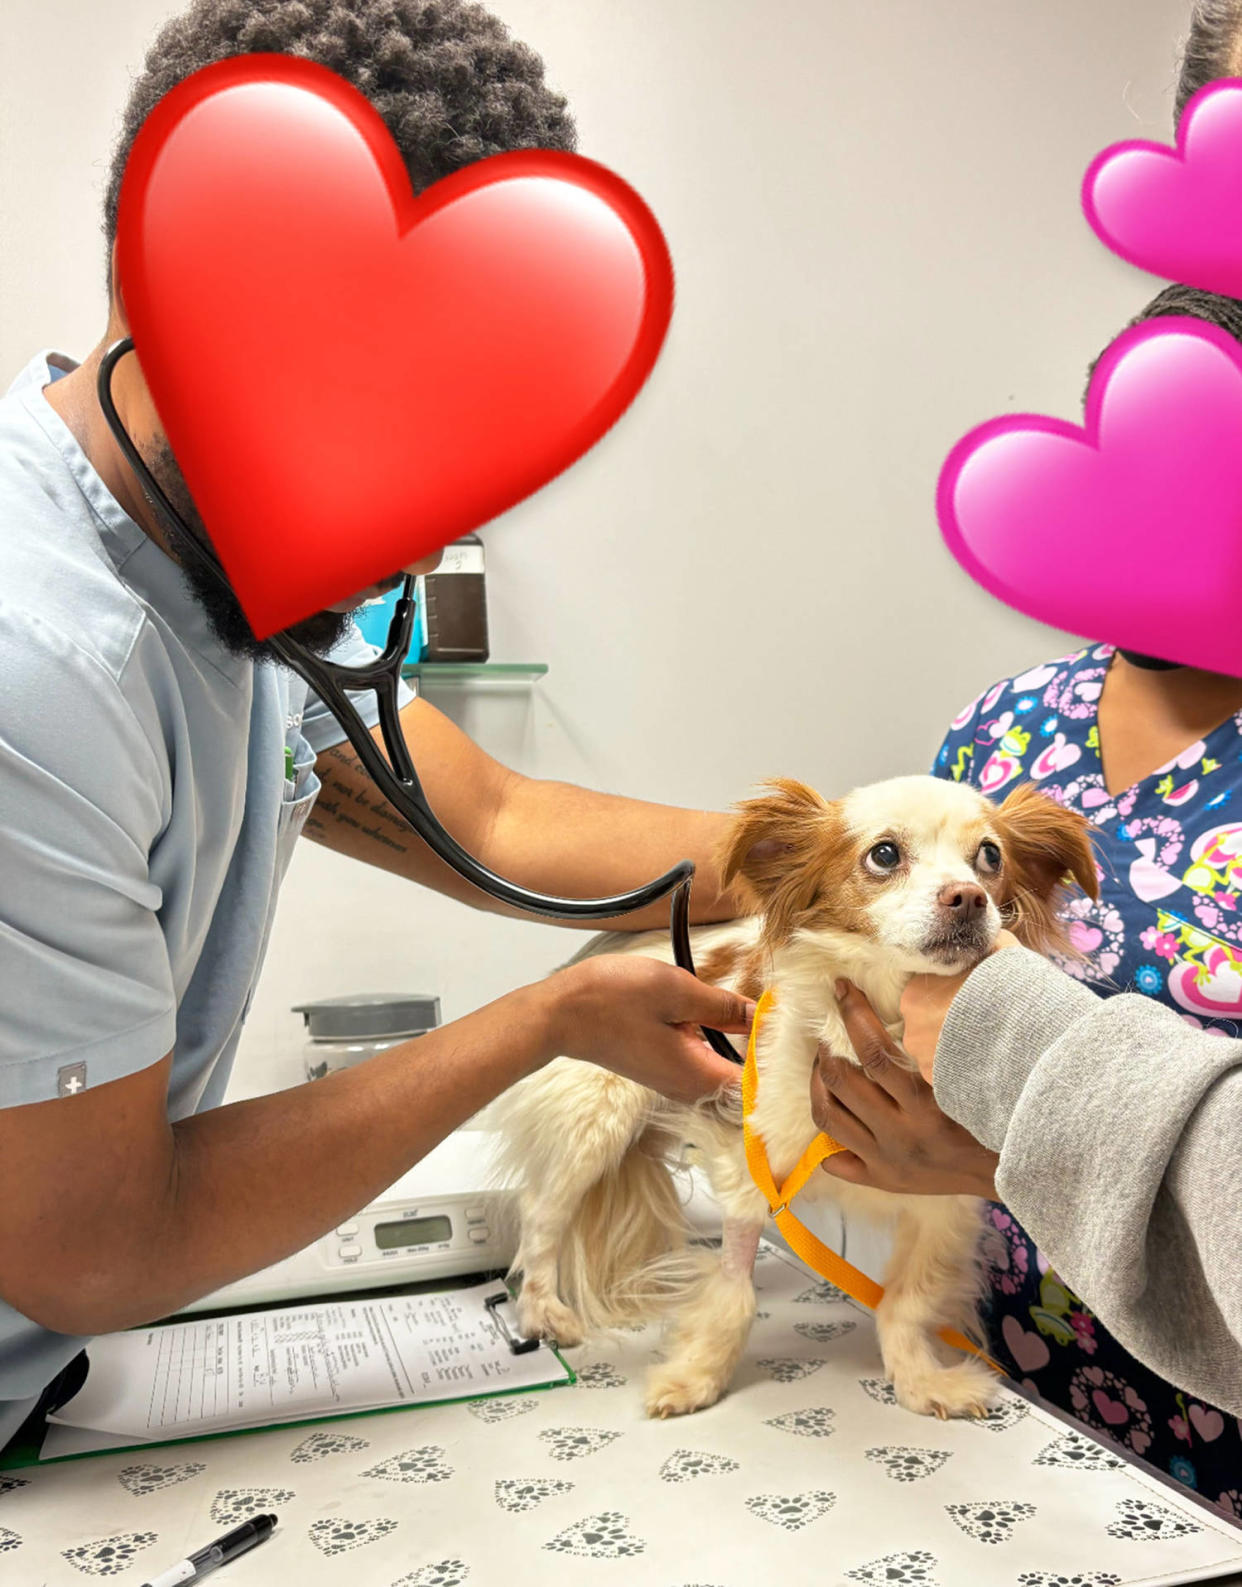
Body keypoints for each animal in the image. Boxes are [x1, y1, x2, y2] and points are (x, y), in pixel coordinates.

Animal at [494, 774, 1097, 1421]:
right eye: (885, 854)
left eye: (990, 857)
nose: (968, 897)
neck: (889, 1016)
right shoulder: (750, 1161)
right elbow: (734, 1287)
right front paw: (698, 1376)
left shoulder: (944, 1201)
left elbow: (907, 1301)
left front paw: (919, 1382)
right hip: (594, 1118)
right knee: (543, 1215)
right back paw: (542, 1309)